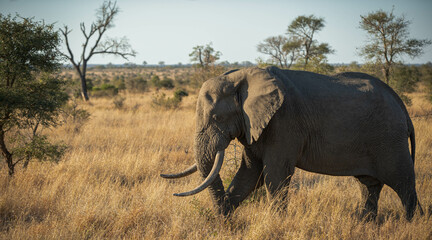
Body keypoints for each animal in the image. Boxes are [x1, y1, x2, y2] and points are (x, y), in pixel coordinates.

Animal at [160, 66, 424, 220]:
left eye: (216, 118)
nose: (223, 221)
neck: (242, 76)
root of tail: (402, 107)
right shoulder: (254, 125)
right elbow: (250, 175)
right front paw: (225, 220)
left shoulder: (284, 122)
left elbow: (273, 175)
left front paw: (276, 224)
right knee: (369, 185)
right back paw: (365, 224)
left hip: (390, 139)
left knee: (403, 184)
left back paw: (414, 223)